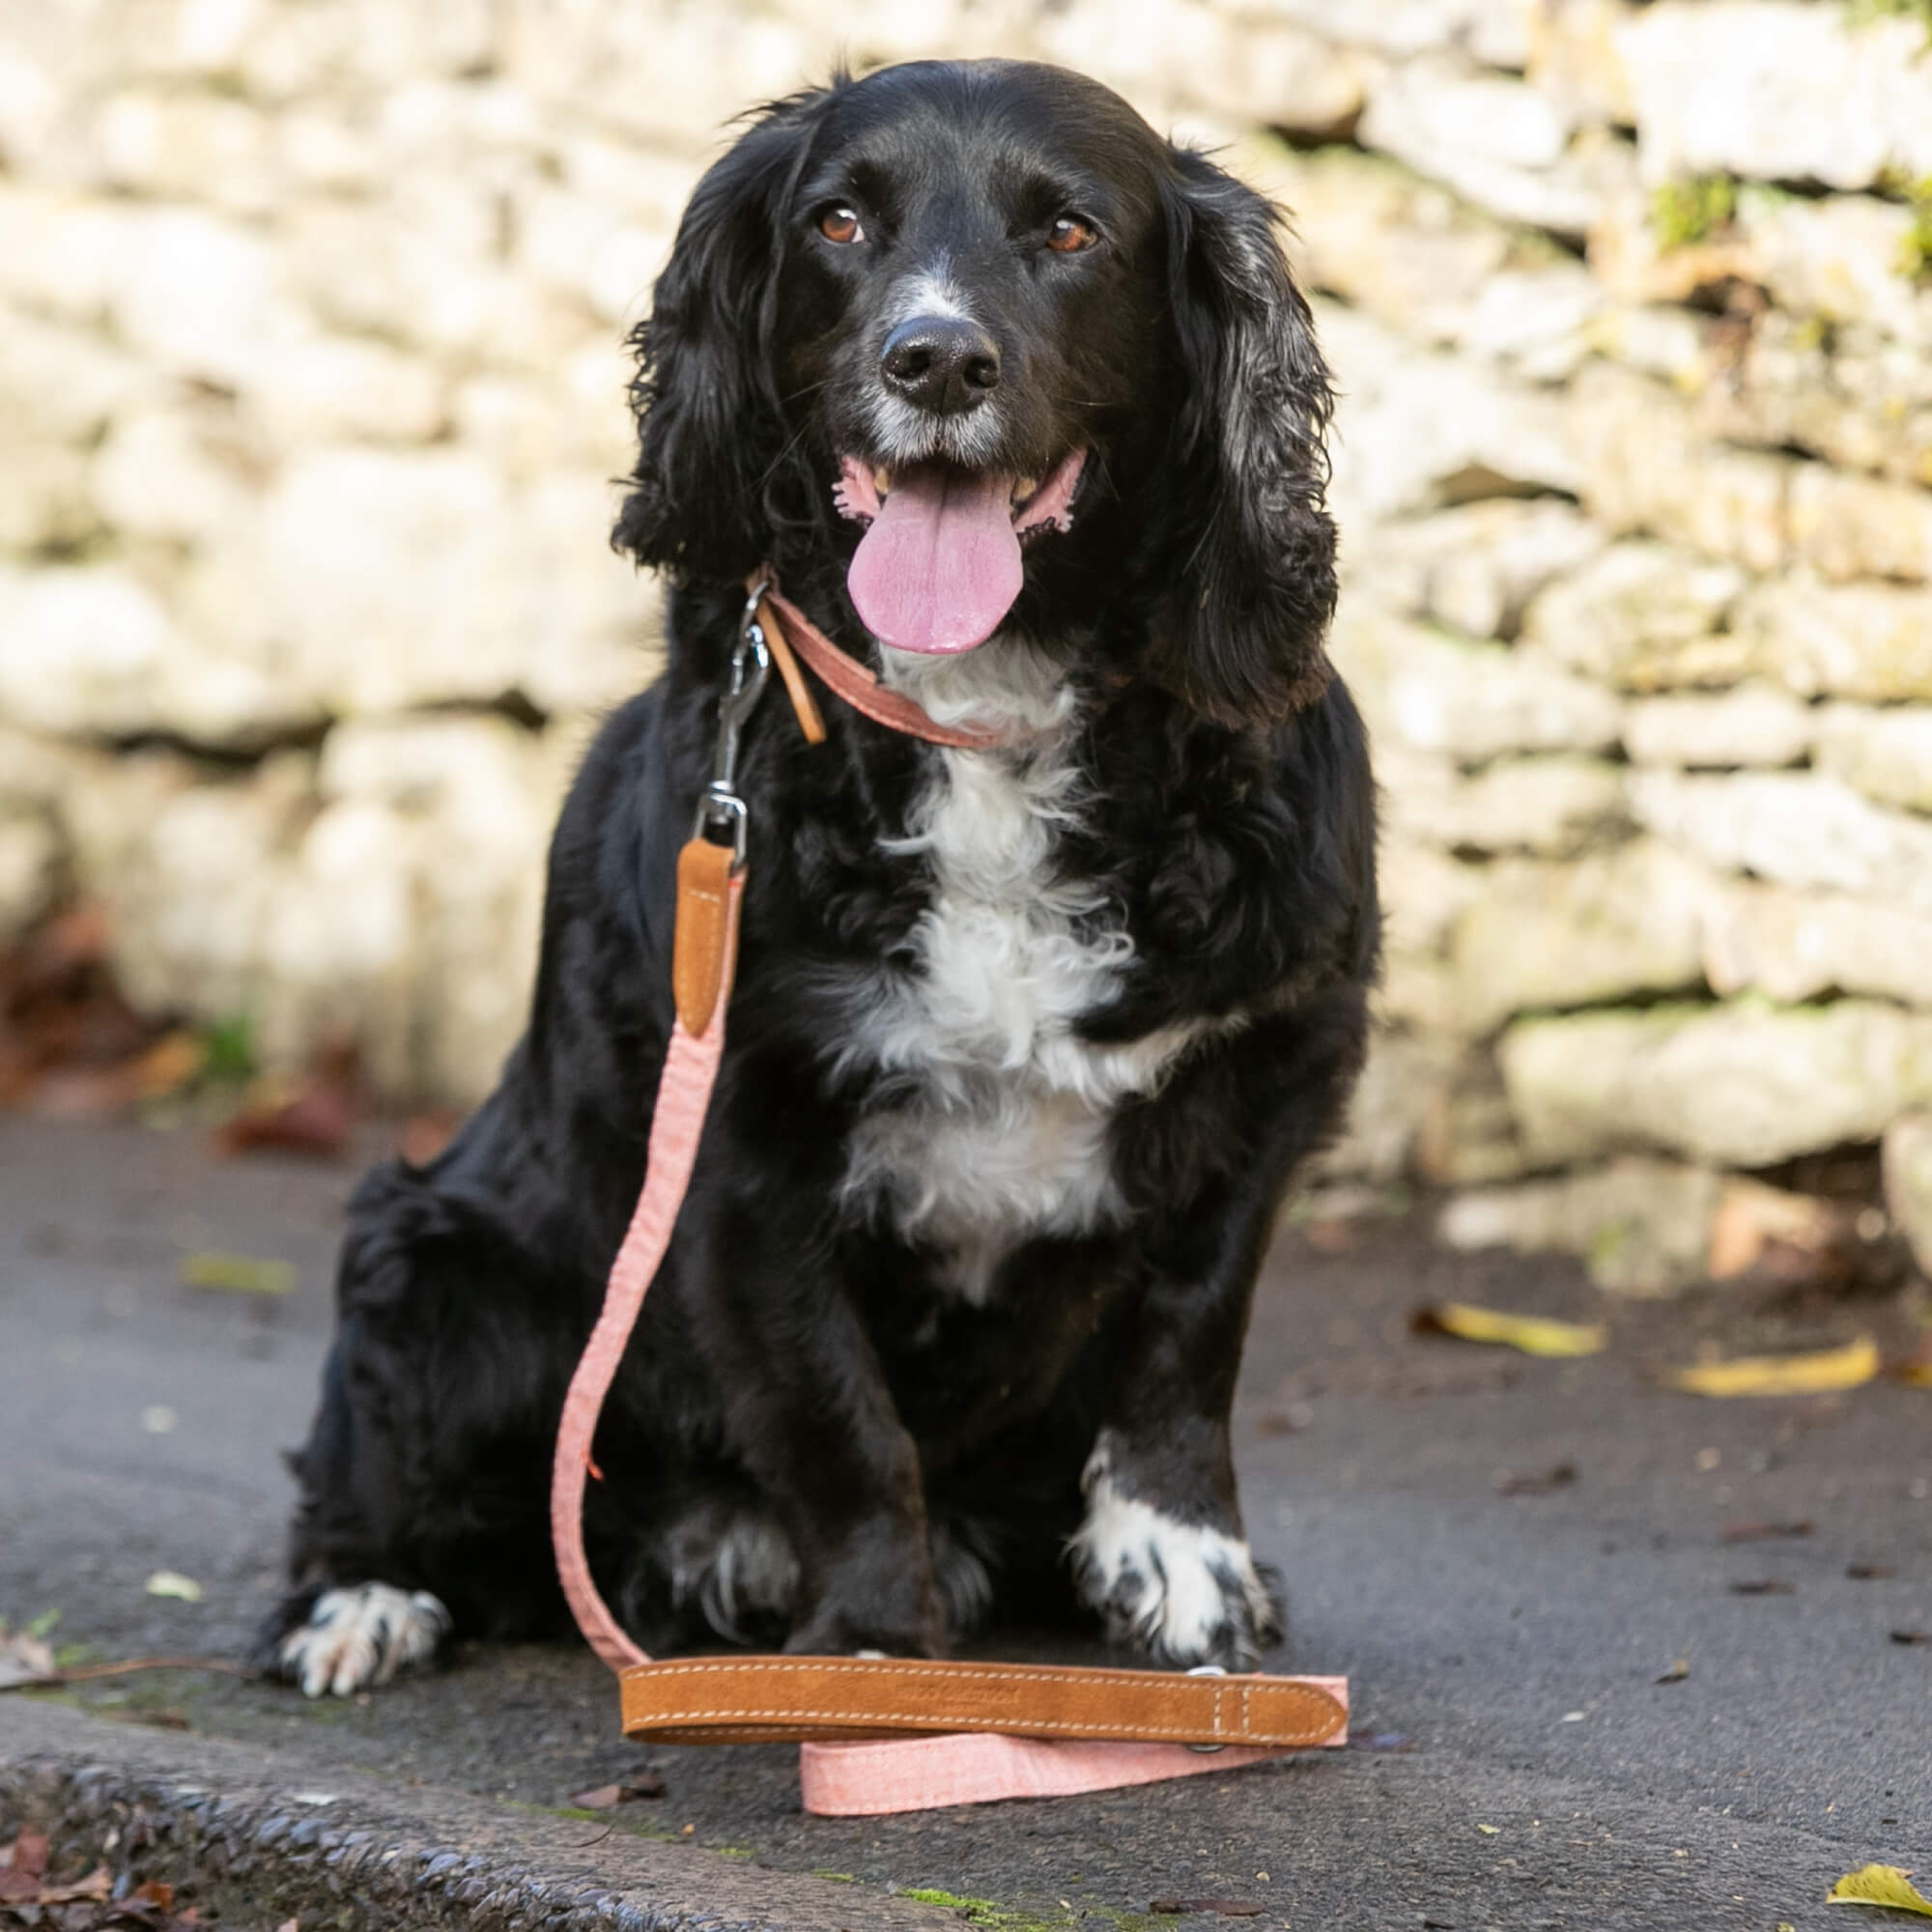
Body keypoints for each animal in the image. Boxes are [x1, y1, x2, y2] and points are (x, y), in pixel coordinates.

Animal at [261, 52, 1376, 1700]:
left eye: (1070, 231)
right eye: (842, 221)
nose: (937, 360)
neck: (980, 713)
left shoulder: (1273, 1067)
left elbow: (1190, 1331)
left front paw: (1183, 1562)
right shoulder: (742, 1131)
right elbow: (837, 1418)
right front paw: (867, 1657)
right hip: (439, 1263)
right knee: (378, 1479)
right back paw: (361, 1600)